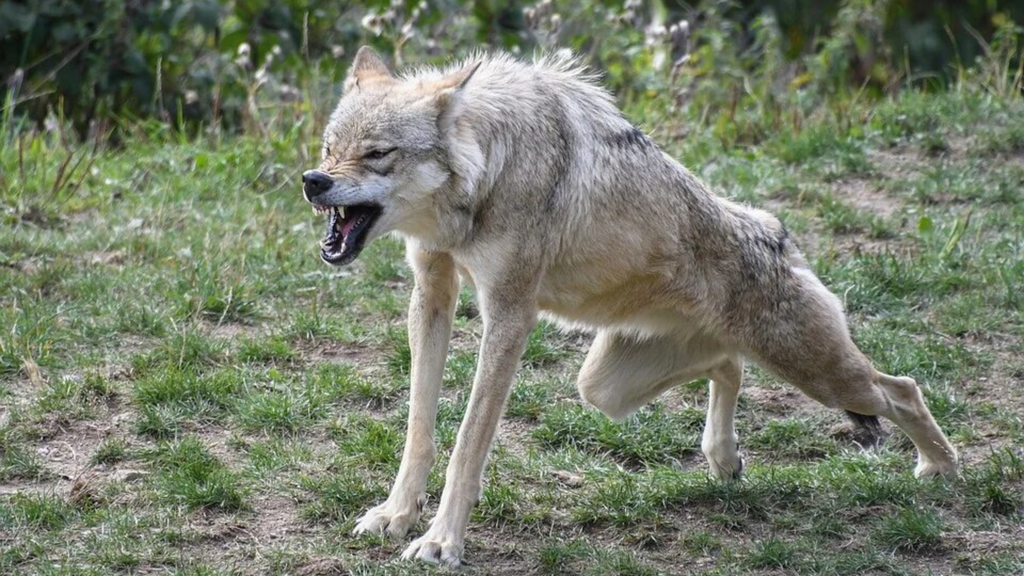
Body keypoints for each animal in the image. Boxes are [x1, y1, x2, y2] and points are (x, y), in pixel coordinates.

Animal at [299, 45, 954, 565]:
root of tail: (776, 231)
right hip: (605, 387)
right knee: (728, 364)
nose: (313, 181)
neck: (488, 171)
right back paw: (723, 459)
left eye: (377, 154)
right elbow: (420, 427)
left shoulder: (509, 313)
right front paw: (395, 515)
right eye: (330, 148)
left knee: (903, 389)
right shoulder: (432, 291)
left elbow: (467, 442)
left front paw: (441, 542)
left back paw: (941, 471)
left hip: (819, 374)